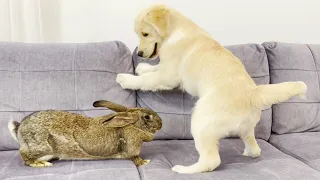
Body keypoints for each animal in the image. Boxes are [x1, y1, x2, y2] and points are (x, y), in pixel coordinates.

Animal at [7, 100, 162, 168]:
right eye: (147, 117)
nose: (161, 124)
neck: (131, 125)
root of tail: (19, 128)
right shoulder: (132, 147)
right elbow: (135, 157)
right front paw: (144, 162)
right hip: (41, 148)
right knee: (26, 159)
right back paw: (42, 164)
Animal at [115, 3, 308, 173]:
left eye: (145, 33)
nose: (139, 54)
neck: (176, 31)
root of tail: (253, 93)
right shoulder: (166, 67)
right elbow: (153, 70)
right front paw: (142, 68)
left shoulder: (169, 75)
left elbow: (149, 79)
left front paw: (126, 79)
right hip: (246, 128)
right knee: (255, 148)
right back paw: (248, 152)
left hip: (201, 122)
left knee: (211, 160)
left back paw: (183, 170)